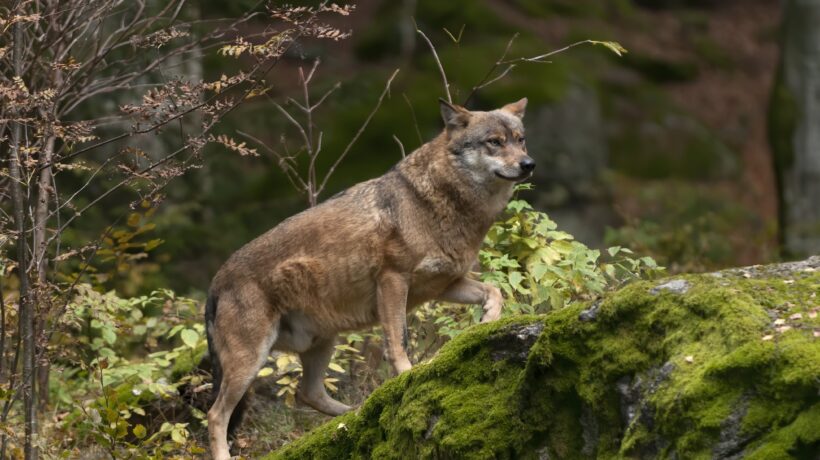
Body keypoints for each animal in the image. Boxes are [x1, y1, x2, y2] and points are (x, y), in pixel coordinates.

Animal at [206, 98, 533, 459]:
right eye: (494, 142)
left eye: (520, 140)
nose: (529, 164)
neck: (442, 201)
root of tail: (215, 283)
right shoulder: (393, 280)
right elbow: (398, 341)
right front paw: (408, 377)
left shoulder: (446, 285)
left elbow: (495, 292)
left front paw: (486, 322)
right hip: (250, 362)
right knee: (216, 415)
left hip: (322, 343)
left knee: (306, 393)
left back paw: (355, 413)